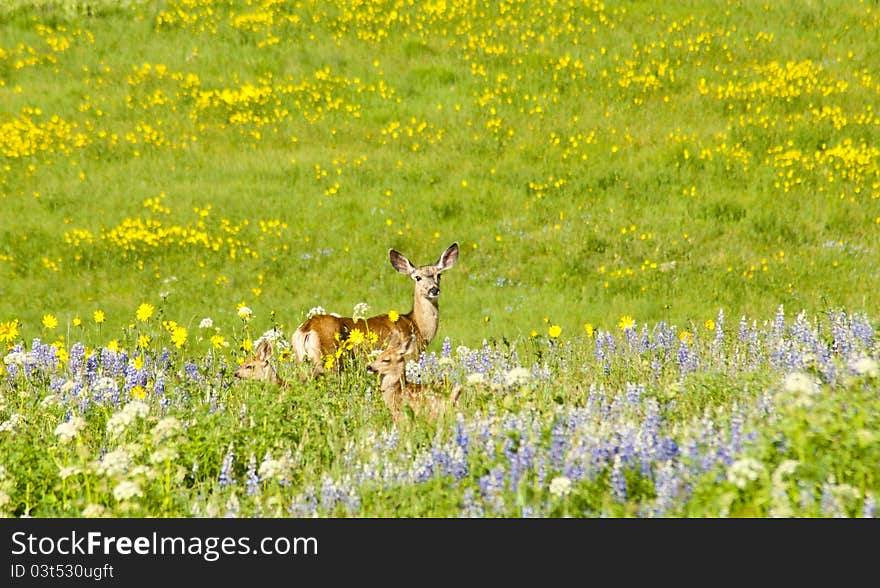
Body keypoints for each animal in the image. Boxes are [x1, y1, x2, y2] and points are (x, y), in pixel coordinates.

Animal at [292, 243, 464, 376]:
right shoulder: (409, 357)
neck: (416, 326)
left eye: (439, 275)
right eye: (417, 277)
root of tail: (306, 329)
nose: (433, 290)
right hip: (330, 360)